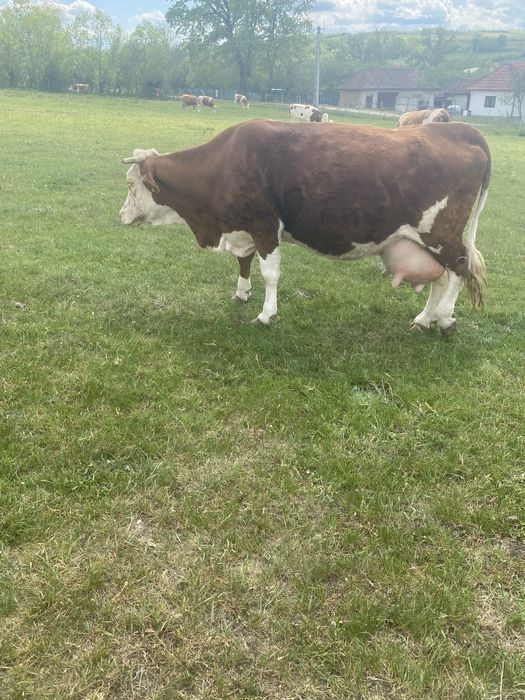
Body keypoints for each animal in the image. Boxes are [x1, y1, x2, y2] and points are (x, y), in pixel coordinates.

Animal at [120, 119, 490, 335]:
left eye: (130, 184)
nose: (120, 216)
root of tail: (457, 129)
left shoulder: (264, 224)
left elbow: (270, 273)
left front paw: (266, 314)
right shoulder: (244, 227)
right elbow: (244, 261)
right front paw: (242, 293)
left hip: (441, 233)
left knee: (459, 269)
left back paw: (444, 318)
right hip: (427, 242)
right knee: (440, 278)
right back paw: (424, 318)